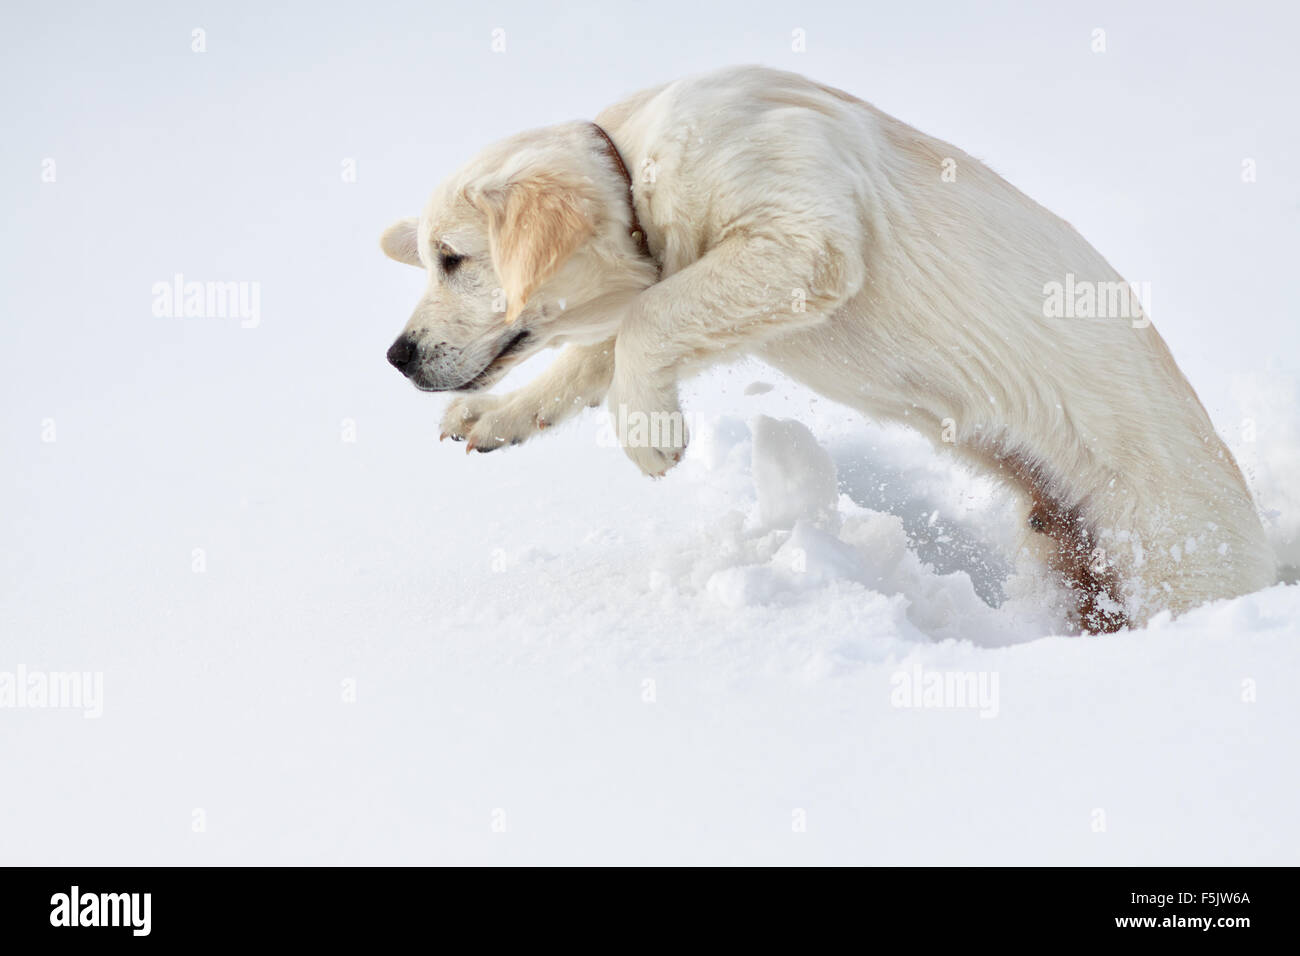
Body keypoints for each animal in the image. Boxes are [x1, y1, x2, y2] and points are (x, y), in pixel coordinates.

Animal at [379, 69, 1274, 634]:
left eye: (451, 259)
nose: (396, 355)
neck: (636, 166)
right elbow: (601, 356)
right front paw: (500, 416)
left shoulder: (802, 240)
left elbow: (646, 324)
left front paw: (650, 438)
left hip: (1173, 562)